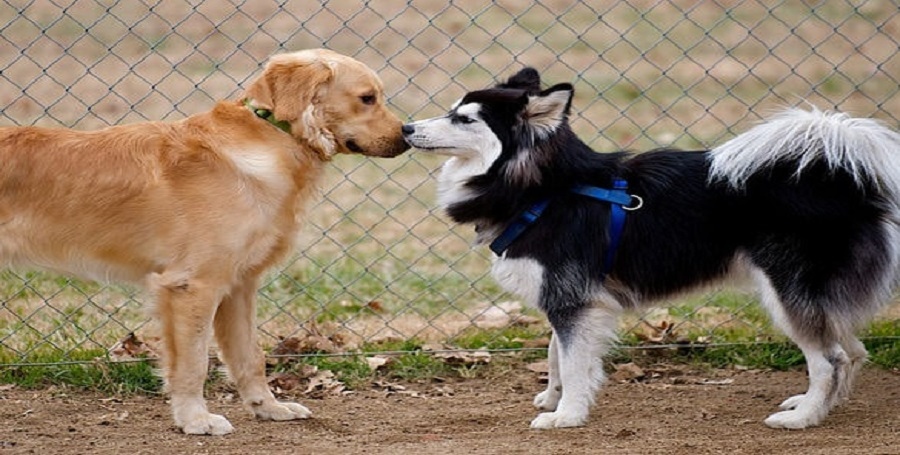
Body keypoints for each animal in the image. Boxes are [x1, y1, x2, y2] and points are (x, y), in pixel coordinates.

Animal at [0, 49, 408, 434]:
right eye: (367, 98)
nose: (406, 135)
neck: (273, 137)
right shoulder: (193, 286)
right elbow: (194, 363)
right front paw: (195, 420)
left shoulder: (240, 286)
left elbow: (250, 357)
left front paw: (269, 408)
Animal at [404, 68, 900, 432]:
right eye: (452, 110)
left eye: (465, 119)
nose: (407, 126)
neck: (545, 189)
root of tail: (838, 177)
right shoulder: (570, 297)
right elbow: (555, 355)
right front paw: (553, 397)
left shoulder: (571, 299)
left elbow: (573, 361)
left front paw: (566, 416)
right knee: (853, 350)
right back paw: (821, 407)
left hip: (786, 291)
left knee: (832, 358)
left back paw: (804, 419)